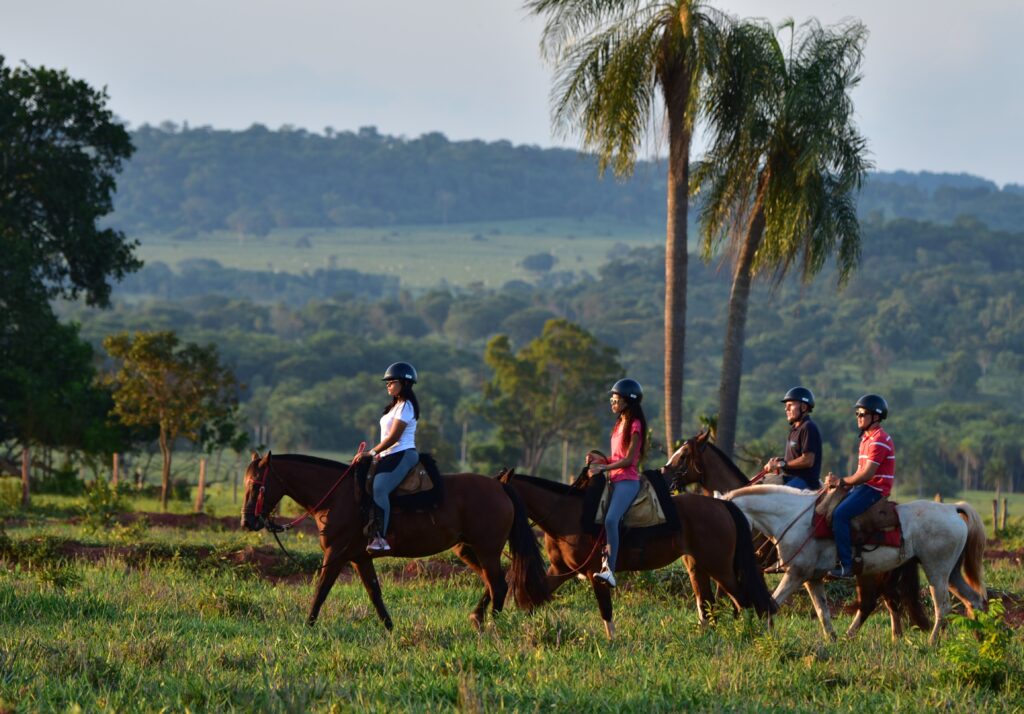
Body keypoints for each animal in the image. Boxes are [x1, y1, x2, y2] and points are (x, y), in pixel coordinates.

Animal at [241, 450, 552, 631]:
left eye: (256, 486)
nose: (247, 522)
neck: (337, 496)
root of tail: (500, 486)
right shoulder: (359, 557)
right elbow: (374, 592)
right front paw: (390, 627)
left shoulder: (335, 555)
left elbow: (321, 590)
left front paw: (308, 626)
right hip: (468, 549)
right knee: (495, 581)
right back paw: (477, 618)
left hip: (487, 549)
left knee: (498, 584)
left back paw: (492, 627)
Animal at [497, 465, 774, 639]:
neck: (567, 514)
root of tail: (722, 504)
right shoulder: (560, 569)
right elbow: (534, 595)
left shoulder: (593, 572)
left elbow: (605, 609)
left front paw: (612, 641)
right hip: (697, 565)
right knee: (708, 605)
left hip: (720, 567)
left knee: (743, 600)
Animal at [663, 432, 937, 639]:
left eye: (683, 455)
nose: (663, 474)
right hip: (877, 571)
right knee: (888, 601)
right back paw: (892, 638)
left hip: (871, 571)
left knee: (874, 602)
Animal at [724, 481, 987, 643]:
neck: (793, 518)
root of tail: (952, 509)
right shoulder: (812, 578)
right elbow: (822, 611)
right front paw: (832, 640)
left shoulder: (796, 574)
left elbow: (772, 603)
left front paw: (761, 635)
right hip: (951, 574)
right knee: (975, 601)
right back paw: (980, 638)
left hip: (937, 571)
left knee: (943, 607)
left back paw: (932, 643)